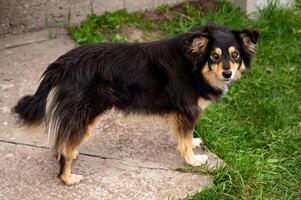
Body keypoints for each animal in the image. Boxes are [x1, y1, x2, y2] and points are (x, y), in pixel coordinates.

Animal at [13, 24, 258, 185]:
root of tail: (62, 63)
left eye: (235, 55)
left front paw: (194, 143)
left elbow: (184, 137)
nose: (227, 74)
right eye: (214, 57)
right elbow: (185, 139)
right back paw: (68, 177)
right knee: (63, 146)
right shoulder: (187, 111)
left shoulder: (179, 113)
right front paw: (193, 160)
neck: (194, 64)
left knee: (62, 141)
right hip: (86, 113)